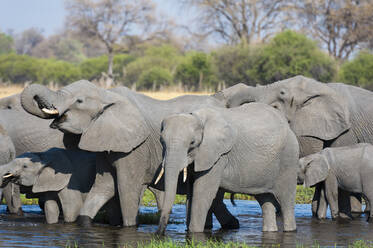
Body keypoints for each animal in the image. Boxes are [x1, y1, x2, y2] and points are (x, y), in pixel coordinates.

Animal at [20, 81, 240, 229]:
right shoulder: (106, 141)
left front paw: (128, 228)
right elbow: (105, 186)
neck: (106, 94)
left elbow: (126, 188)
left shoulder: (135, 147)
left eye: (79, 101)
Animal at [155, 103, 298, 234]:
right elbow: (191, 193)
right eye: (161, 141)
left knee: (286, 200)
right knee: (265, 199)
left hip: (289, 158)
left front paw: (195, 233)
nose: (159, 234)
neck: (198, 117)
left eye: (192, 143)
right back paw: (270, 231)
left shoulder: (218, 155)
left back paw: (290, 230)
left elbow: (202, 193)